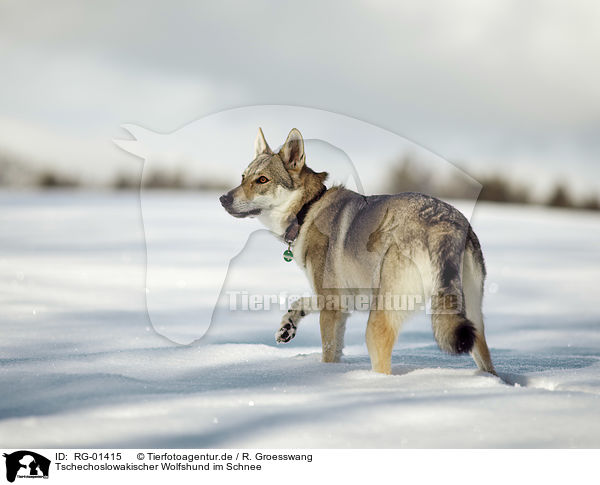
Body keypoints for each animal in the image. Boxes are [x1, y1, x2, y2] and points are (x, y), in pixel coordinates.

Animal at [221, 125, 496, 374]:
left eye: (262, 180)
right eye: (243, 177)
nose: (223, 199)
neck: (307, 210)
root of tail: (445, 224)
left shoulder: (331, 306)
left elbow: (329, 353)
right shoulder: (341, 299)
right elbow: (299, 302)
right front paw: (288, 326)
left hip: (377, 324)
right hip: (471, 323)